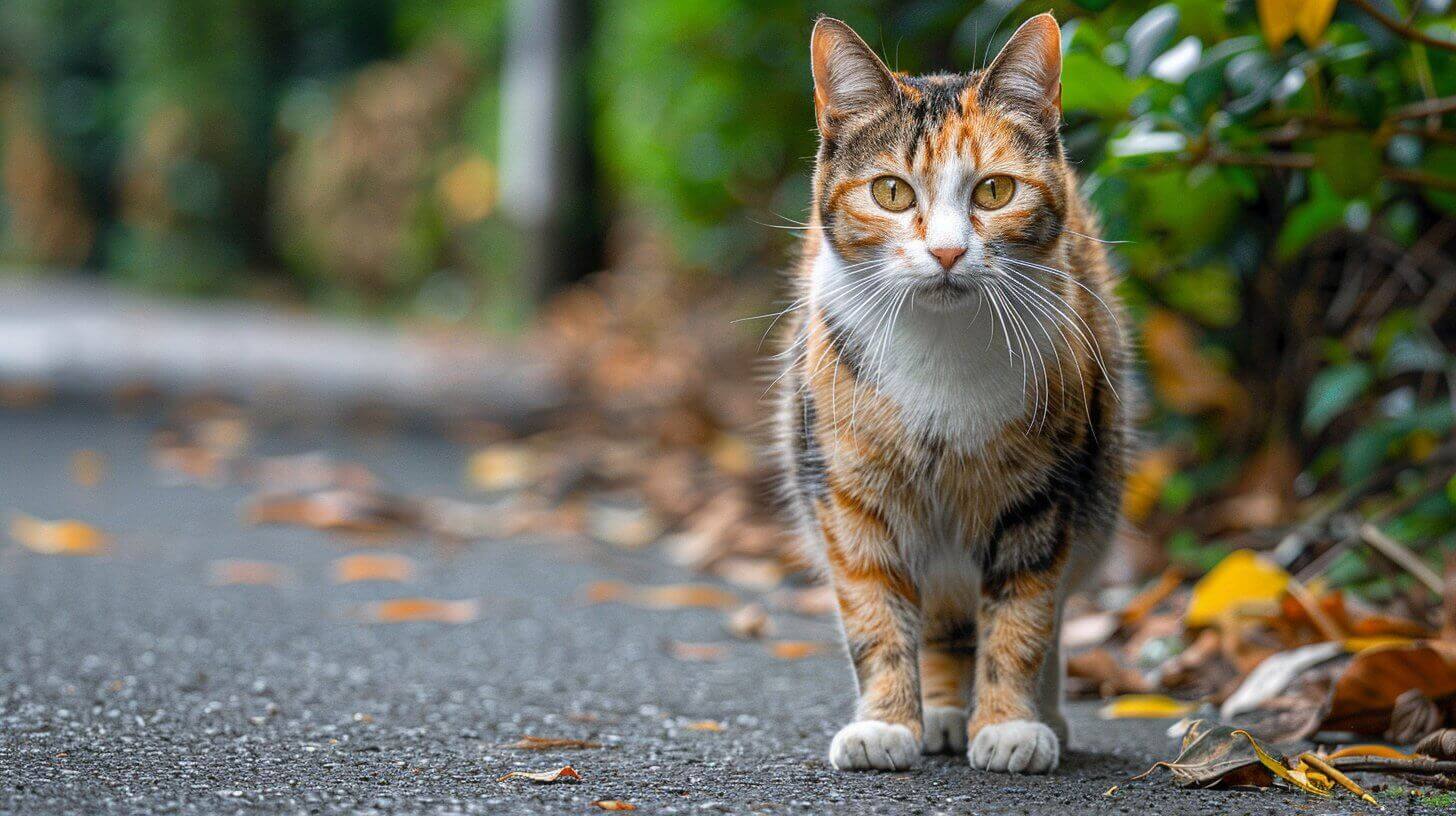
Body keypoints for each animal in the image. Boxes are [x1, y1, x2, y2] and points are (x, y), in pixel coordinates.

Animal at [780, 12, 1129, 775]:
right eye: (891, 193)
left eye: (995, 192)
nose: (946, 252)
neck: (941, 358)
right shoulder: (849, 491)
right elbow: (874, 612)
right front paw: (886, 725)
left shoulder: (1043, 494)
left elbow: (1023, 619)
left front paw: (1010, 725)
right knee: (940, 618)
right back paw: (941, 712)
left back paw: (1045, 715)